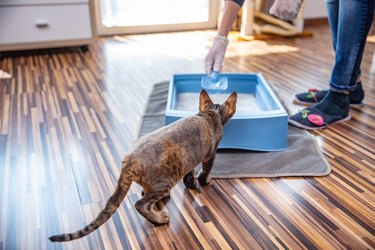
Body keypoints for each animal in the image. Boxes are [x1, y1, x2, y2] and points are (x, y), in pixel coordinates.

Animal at [50, 90, 238, 242]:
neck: (209, 113)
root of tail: (128, 162)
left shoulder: (192, 158)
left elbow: (190, 173)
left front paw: (191, 183)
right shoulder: (211, 154)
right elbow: (206, 170)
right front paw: (205, 181)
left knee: (145, 195)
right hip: (165, 182)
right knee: (141, 204)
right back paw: (159, 219)